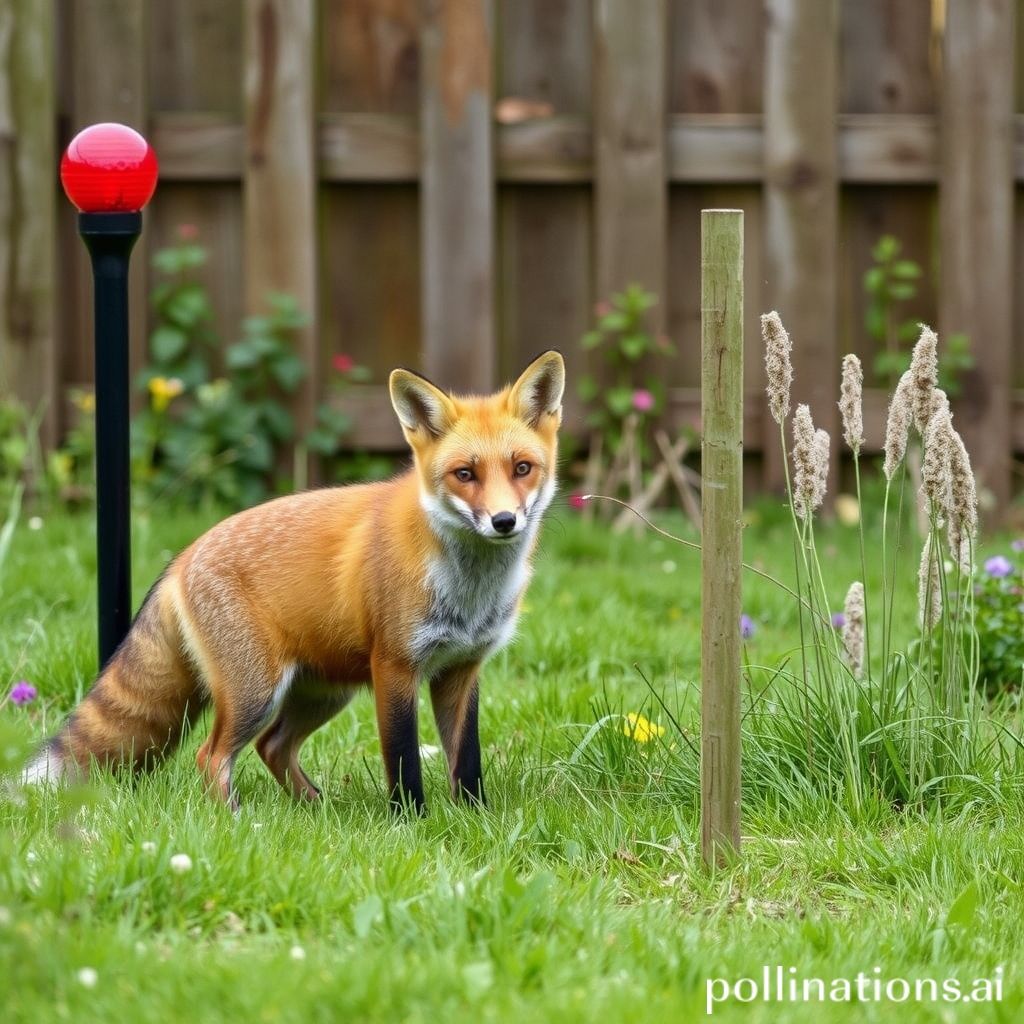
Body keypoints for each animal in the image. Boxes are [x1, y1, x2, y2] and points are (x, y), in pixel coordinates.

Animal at [25, 350, 565, 813]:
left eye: (522, 468)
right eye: (464, 474)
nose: (503, 521)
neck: (469, 589)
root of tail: (181, 558)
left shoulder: (462, 668)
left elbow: (466, 761)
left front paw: (476, 820)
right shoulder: (394, 666)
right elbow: (403, 761)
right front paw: (412, 823)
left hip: (324, 691)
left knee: (273, 747)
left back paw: (316, 810)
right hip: (257, 691)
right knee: (212, 755)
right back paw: (238, 822)